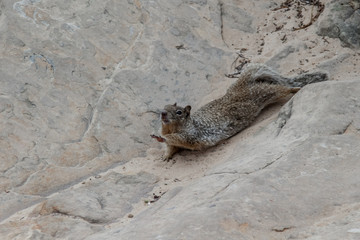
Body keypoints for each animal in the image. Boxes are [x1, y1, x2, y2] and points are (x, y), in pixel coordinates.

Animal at [150, 64, 328, 161]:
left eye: (179, 112)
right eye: (164, 106)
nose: (162, 114)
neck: (172, 127)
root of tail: (241, 84)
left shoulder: (191, 134)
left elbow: (178, 138)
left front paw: (160, 137)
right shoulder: (177, 143)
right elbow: (172, 148)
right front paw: (165, 156)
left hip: (265, 92)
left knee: (282, 88)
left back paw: (295, 88)